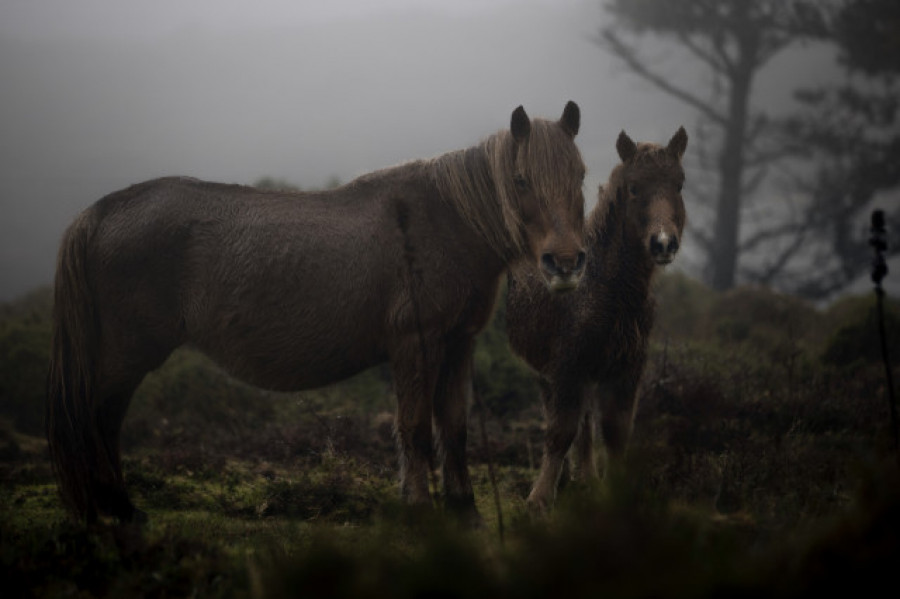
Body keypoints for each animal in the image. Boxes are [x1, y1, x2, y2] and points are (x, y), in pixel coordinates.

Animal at [47, 104, 592, 524]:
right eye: (520, 179)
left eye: (582, 174)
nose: (565, 263)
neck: (443, 220)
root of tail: (100, 213)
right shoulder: (415, 344)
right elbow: (414, 428)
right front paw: (419, 509)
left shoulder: (459, 343)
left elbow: (453, 429)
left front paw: (465, 512)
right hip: (124, 358)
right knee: (99, 420)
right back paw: (120, 508)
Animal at [506, 126, 688, 510]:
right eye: (634, 187)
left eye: (679, 184)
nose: (663, 243)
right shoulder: (567, 367)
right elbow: (560, 431)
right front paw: (539, 499)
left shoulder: (626, 371)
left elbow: (615, 433)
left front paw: (613, 491)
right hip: (548, 373)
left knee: (586, 422)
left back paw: (586, 479)